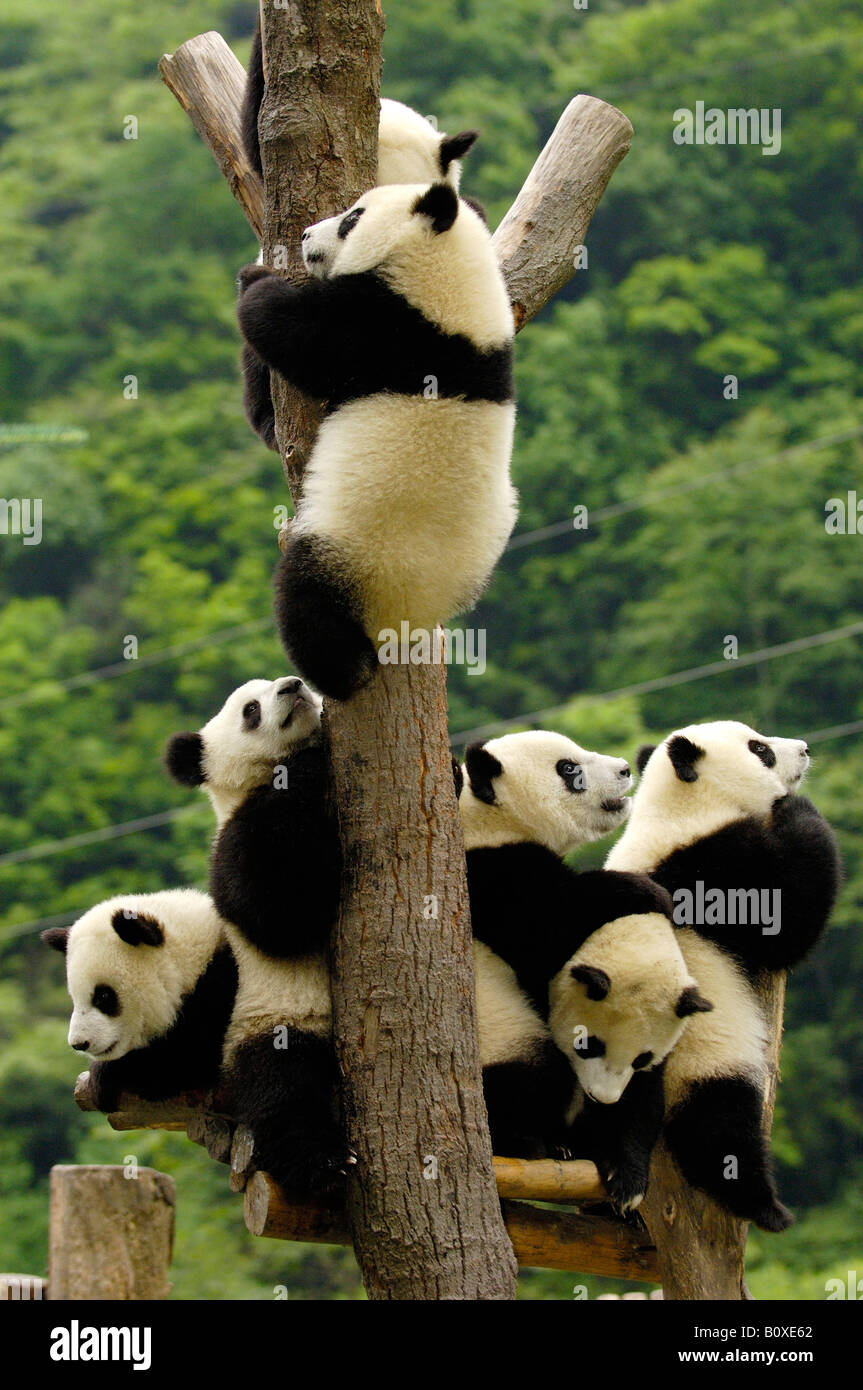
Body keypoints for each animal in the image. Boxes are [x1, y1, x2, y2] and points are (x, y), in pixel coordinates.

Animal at [42, 890, 238, 1114]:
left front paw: (103, 1076)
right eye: (74, 997)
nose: (79, 1043)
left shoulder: (218, 994)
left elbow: (181, 1064)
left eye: (103, 996)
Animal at [237, 180, 517, 701]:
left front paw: (255, 280)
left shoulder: (387, 329)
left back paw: (343, 673)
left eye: (353, 217)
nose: (305, 235)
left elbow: (299, 336)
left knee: (307, 601)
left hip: (353, 552)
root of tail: (410, 613)